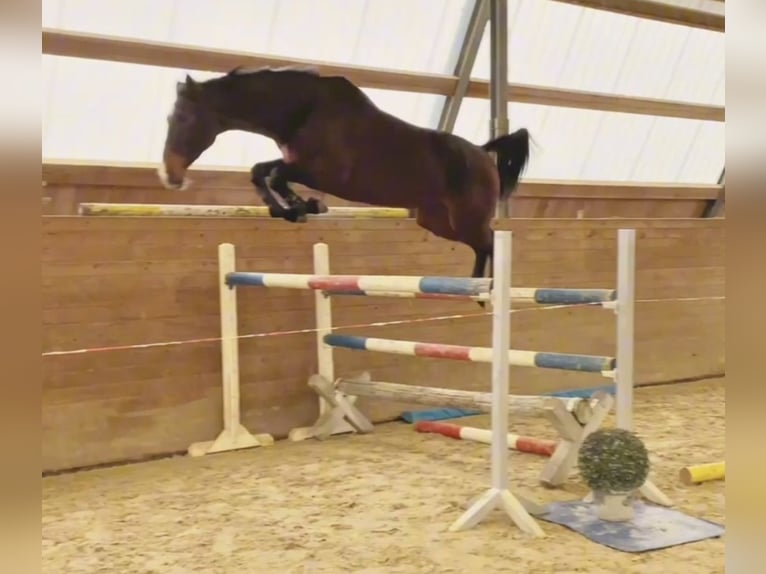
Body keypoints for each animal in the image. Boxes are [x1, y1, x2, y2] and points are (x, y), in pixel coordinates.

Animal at [158, 66, 530, 284]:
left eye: (185, 119)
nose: (170, 176)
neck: (303, 112)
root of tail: (483, 153)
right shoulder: (298, 164)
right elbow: (261, 172)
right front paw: (295, 209)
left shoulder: (324, 173)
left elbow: (275, 175)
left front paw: (303, 207)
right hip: (437, 221)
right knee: (481, 244)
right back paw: (477, 287)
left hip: (466, 219)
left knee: (489, 242)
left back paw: (486, 289)